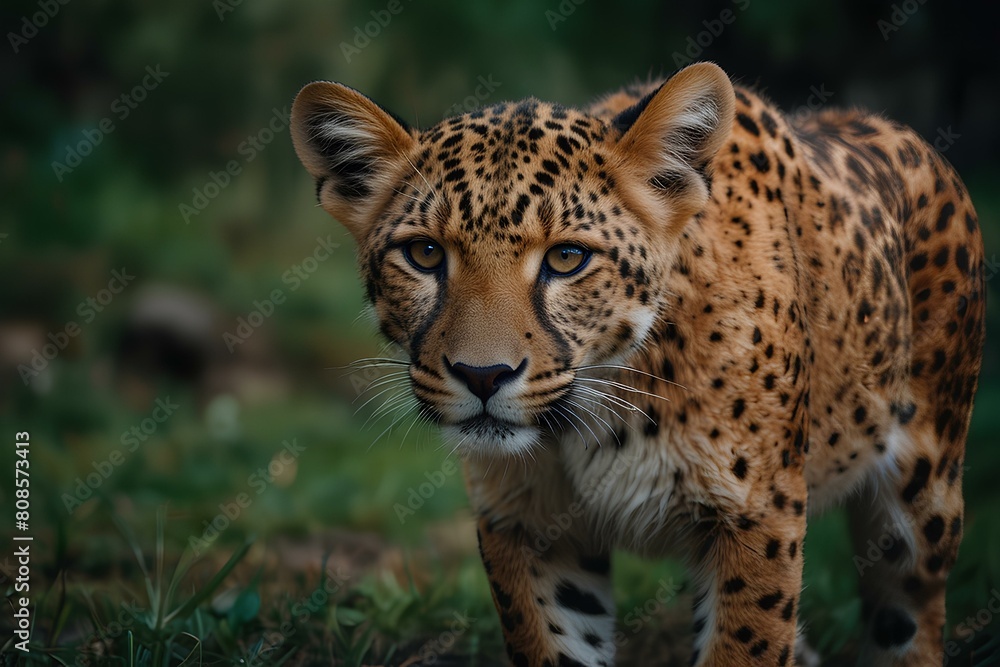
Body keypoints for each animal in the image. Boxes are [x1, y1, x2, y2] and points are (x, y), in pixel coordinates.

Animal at [289, 62, 985, 666]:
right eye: (426, 254)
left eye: (567, 258)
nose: (483, 377)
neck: (601, 412)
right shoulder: (527, 526)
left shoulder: (758, 516)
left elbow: (746, 644)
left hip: (923, 498)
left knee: (911, 615)